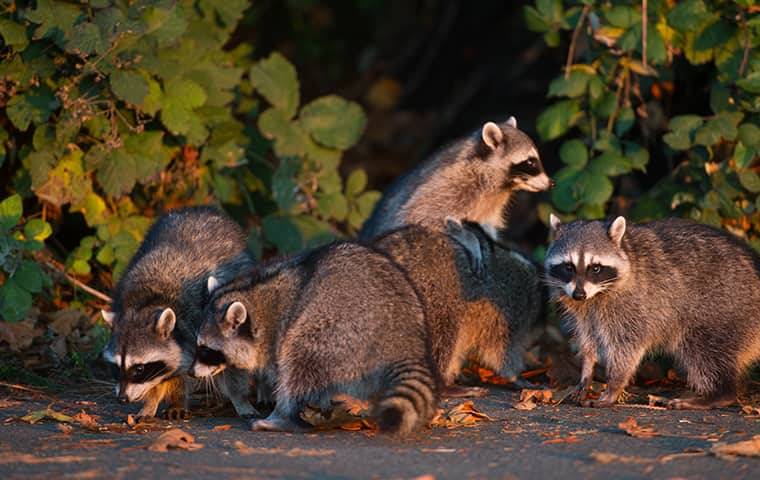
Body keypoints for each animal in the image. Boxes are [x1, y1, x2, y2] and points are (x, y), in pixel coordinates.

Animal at [102, 207, 256, 420]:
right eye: (116, 367)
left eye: (139, 368)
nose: (122, 399)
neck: (147, 302)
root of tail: (198, 210)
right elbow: (167, 375)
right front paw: (152, 402)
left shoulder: (198, 321)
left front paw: (238, 398)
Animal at [189, 244, 440, 436]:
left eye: (206, 349)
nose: (191, 373)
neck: (254, 293)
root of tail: (402, 339)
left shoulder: (276, 334)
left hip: (340, 329)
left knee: (299, 360)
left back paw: (282, 417)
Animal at [544, 215, 760, 408]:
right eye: (568, 267)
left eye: (595, 268)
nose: (579, 295)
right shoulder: (585, 312)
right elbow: (588, 340)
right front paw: (586, 372)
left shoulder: (635, 304)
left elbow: (626, 347)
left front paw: (614, 384)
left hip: (725, 305)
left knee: (704, 348)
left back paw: (718, 394)